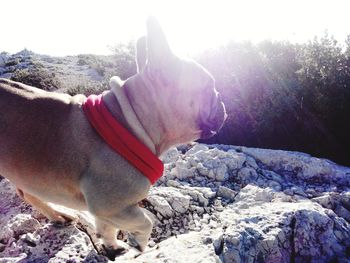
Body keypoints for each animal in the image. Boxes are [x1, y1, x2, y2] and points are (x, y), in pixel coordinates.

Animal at [0, 17, 227, 256]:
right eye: (209, 87)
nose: (221, 99)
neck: (128, 123)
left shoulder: (108, 212)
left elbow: (108, 229)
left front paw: (113, 246)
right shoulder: (111, 206)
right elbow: (145, 222)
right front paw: (138, 242)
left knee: (27, 192)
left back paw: (58, 216)